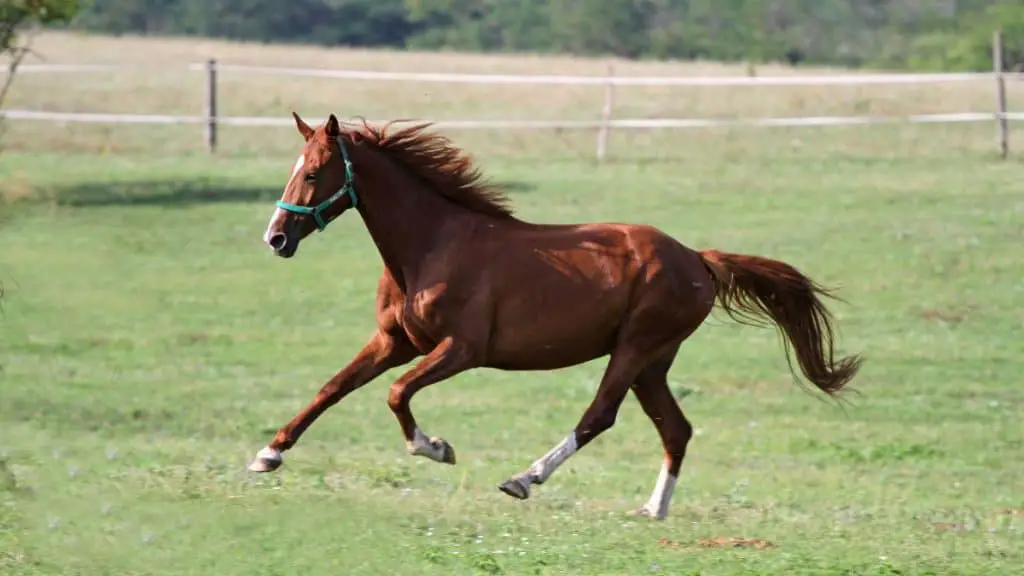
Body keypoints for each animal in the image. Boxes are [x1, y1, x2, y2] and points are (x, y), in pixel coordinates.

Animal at [249, 109, 864, 518]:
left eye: (314, 172)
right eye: (294, 168)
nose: (275, 238)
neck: (431, 246)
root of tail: (698, 259)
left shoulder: (462, 350)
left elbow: (397, 394)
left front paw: (435, 448)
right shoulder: (393, 341)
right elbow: (333, 388)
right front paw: (267, 454)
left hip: (635, 348)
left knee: (600, 416)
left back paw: (524, 479)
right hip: (653, 362)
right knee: (676, 428)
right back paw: (653, 509)